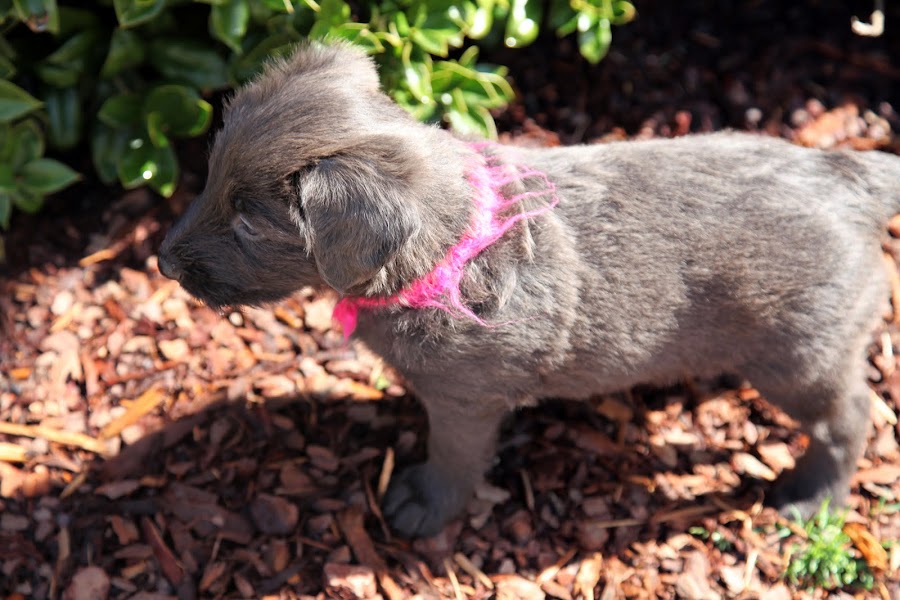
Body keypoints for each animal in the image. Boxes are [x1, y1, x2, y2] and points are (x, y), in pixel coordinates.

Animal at [158, 42, 900, 540]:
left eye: (250, 223)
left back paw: (813, 499)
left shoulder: (466, 402)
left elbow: (454, 457)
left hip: (800, 356)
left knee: (851, 416)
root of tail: (848, 176)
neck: (447, 250)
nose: (163, 262)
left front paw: (423, 505)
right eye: (209, 176)